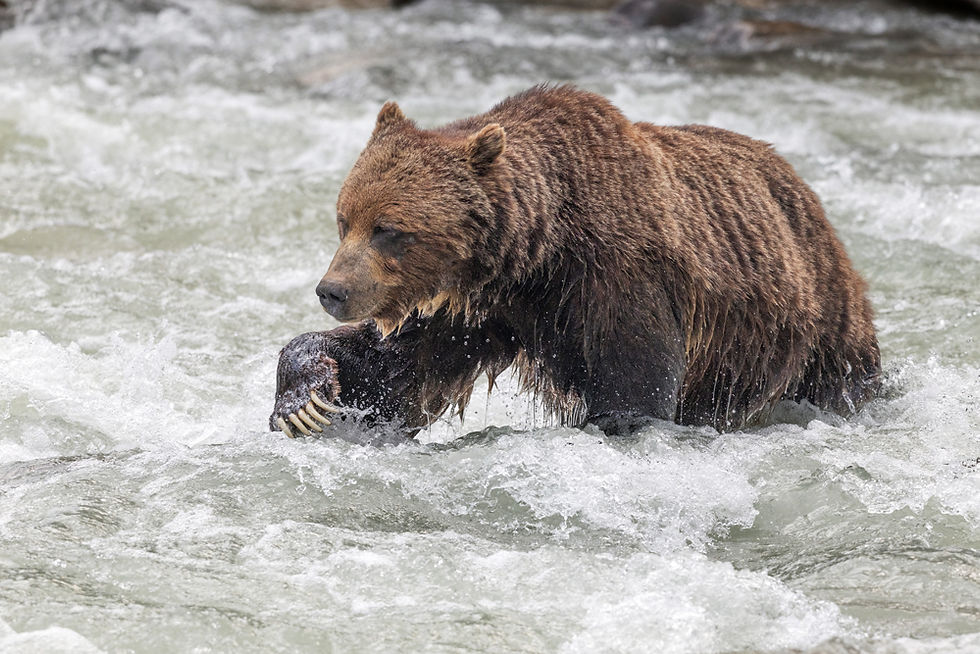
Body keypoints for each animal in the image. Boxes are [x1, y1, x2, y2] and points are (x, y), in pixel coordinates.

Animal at [269, 85, 880, 439]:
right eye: (345, 219)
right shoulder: (472, 306)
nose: (332, 290)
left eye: (390, 230)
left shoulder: (620, 280)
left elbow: (636, 393)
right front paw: (305, 400)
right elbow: (394, 372)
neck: (539, 251)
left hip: (807, 324)